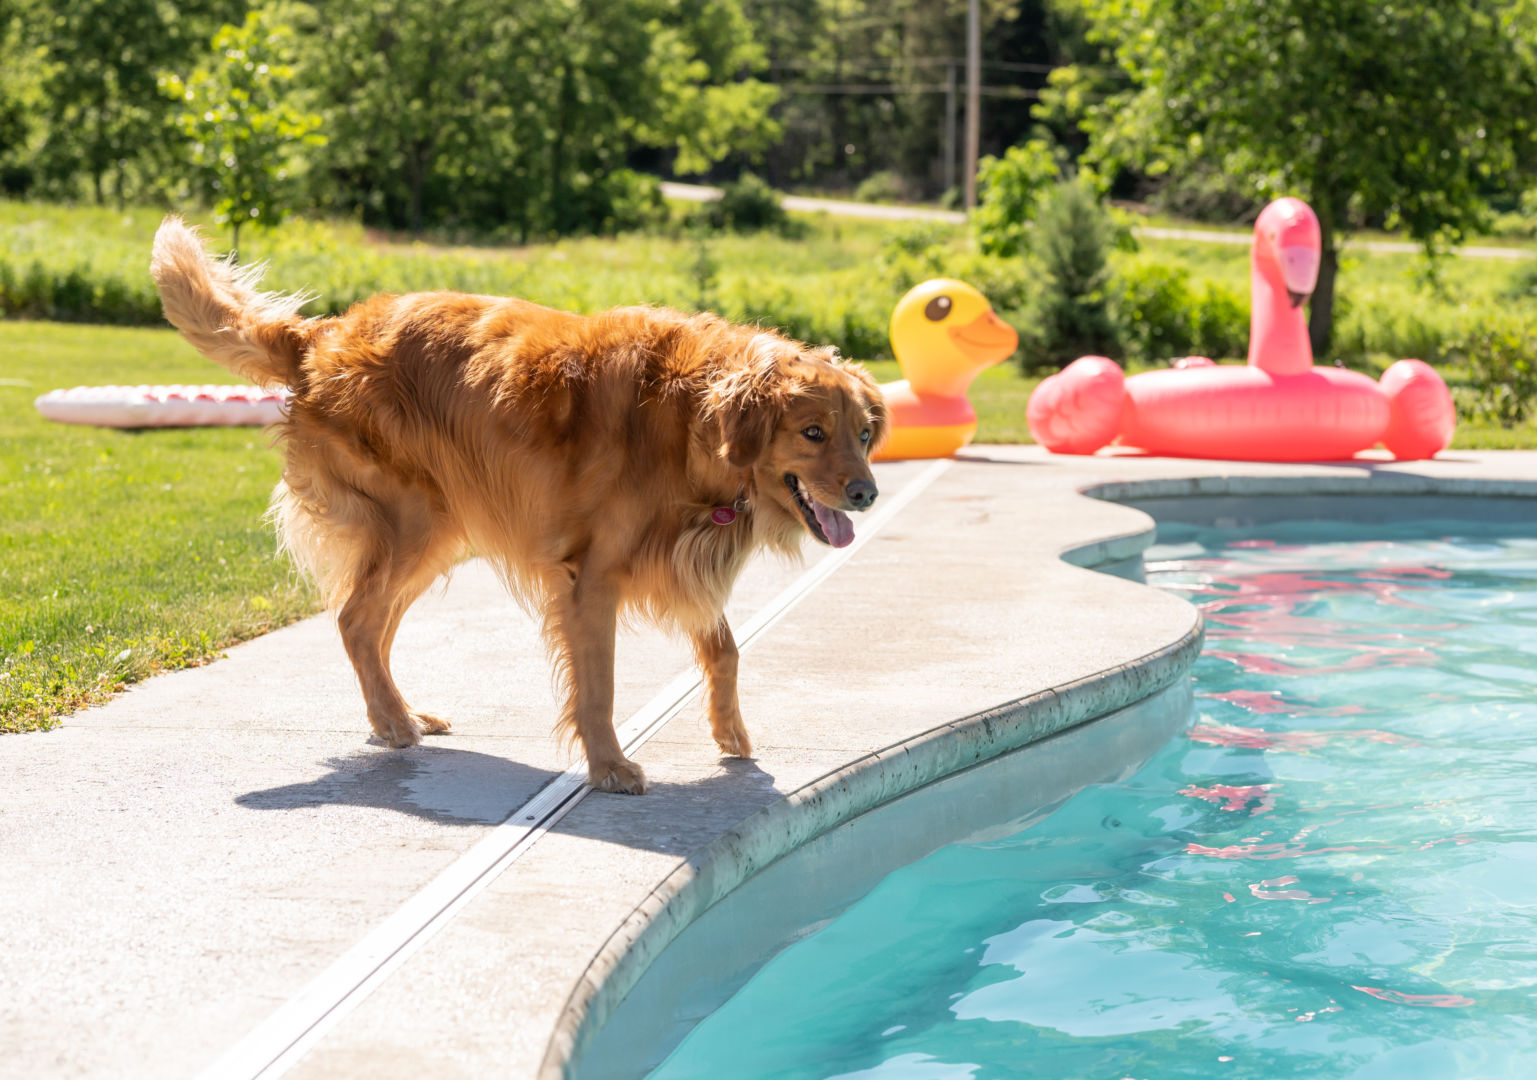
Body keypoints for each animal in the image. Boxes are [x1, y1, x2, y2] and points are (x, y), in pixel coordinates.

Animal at [146, 219, 891, 792]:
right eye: (812, 433)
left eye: (862, 433)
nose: (867, 493)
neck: (693, 425)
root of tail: (321, 338)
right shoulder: (593, 578)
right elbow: (599, 686)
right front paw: (609, 766)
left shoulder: (677, 558)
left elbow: (725, 648)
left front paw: (730, 732)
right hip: (416, 522)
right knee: (357, 618)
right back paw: (394, 722)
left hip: (439, 534)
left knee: (372, 624)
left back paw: (400, 715)